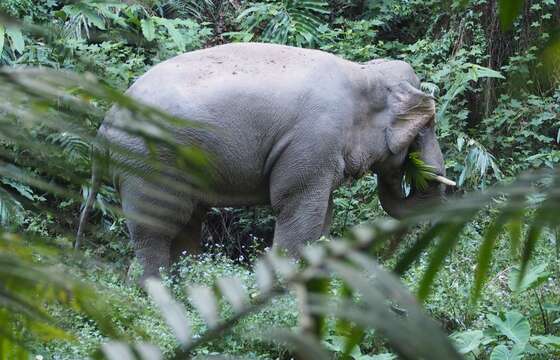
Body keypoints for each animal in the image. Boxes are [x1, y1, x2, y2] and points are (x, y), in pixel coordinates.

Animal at [76, 42, 456, 282]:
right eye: (426, 126)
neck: (363, 74)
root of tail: (105, 126)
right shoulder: (313, 140)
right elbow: (297, 211)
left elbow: (323, 216)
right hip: (148, 161)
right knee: (156, 228)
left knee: (186, 223)